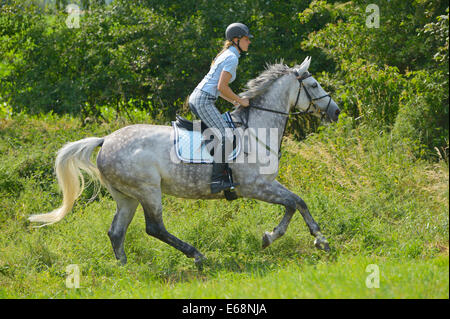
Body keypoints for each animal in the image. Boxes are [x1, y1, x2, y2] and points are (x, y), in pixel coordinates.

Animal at [29, 57, 342, 268]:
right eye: (314, 84)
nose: (336, 111)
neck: (257, 128)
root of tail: (105, 140)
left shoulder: (267, 184)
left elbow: (294, 204)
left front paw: (272, 237)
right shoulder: (255, 186)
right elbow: (296, 202)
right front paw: (319, 239)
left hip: (126, 197)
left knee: (116, 232)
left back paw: (124, 268)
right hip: (148, 191)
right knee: (154, 228)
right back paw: (197, 255)